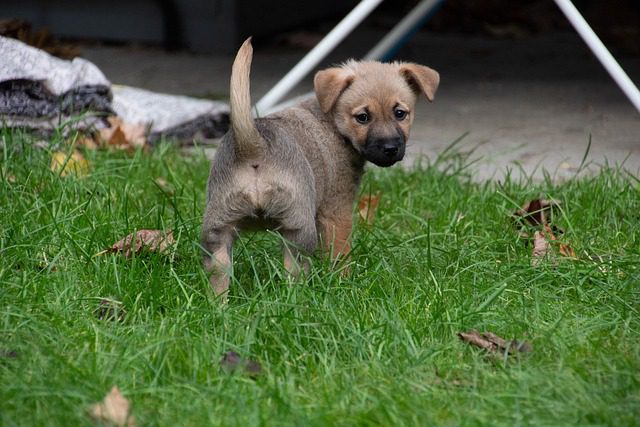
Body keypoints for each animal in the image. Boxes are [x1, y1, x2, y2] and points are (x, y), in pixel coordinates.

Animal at [202, 38, 438, 296]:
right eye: (363, 117)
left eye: (400, 113)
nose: (390, 148)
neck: (331, 121)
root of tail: (256, 145)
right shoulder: (337, 210)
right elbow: (340, 253)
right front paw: (343, 281)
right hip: (298, 231)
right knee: (294, 271)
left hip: (218, 232)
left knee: (219, 275)